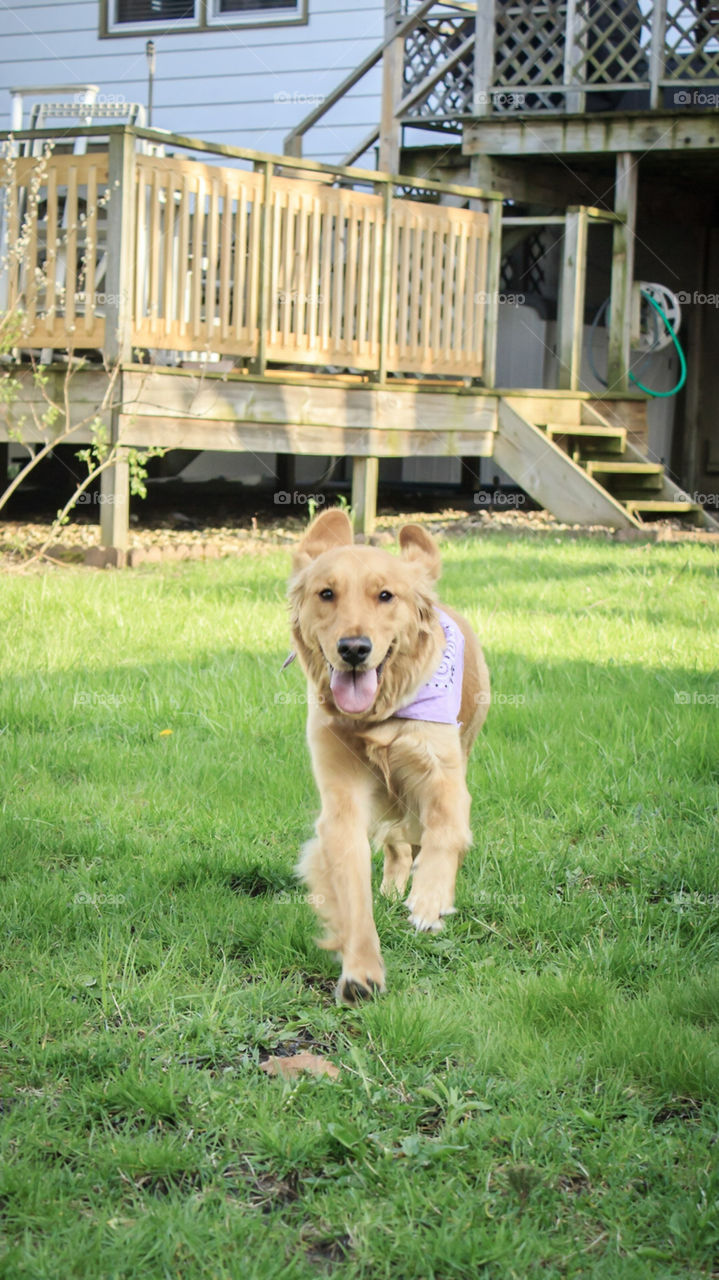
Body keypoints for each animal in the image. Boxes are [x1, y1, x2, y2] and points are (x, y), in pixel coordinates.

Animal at [285, 504, 486, 1003]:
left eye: (385, 596)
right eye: (326, 593)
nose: (354, 649)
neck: (380, 717)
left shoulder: (443, 775)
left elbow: (446, 831)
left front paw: (430, 899)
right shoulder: (342, 801)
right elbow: (352, 886)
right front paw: (361, 971)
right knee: (397, 842)